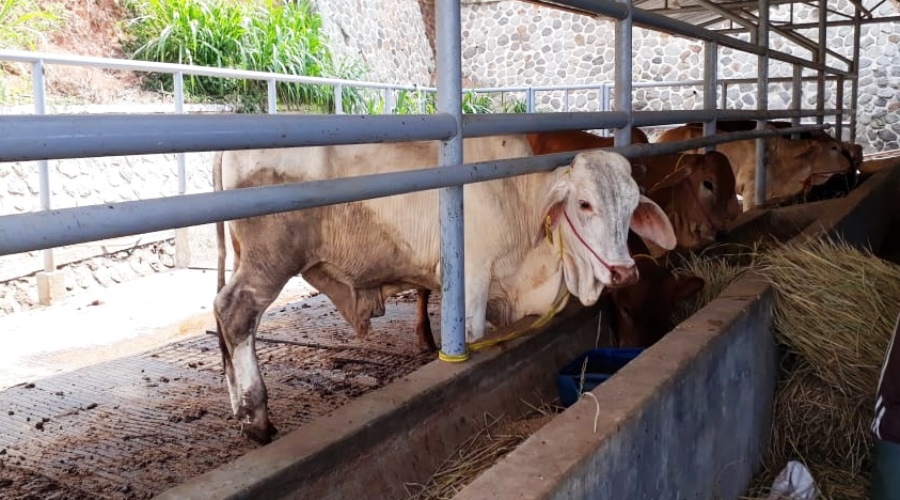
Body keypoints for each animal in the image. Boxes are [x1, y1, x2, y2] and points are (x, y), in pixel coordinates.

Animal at [211, 135, 676, 444]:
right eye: (584, 204)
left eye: (631, 207)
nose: (624, 272)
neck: (518, 201)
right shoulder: (472, 283)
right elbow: (472, 337)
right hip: (268, 263)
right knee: (235, 312)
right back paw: (257, 419)